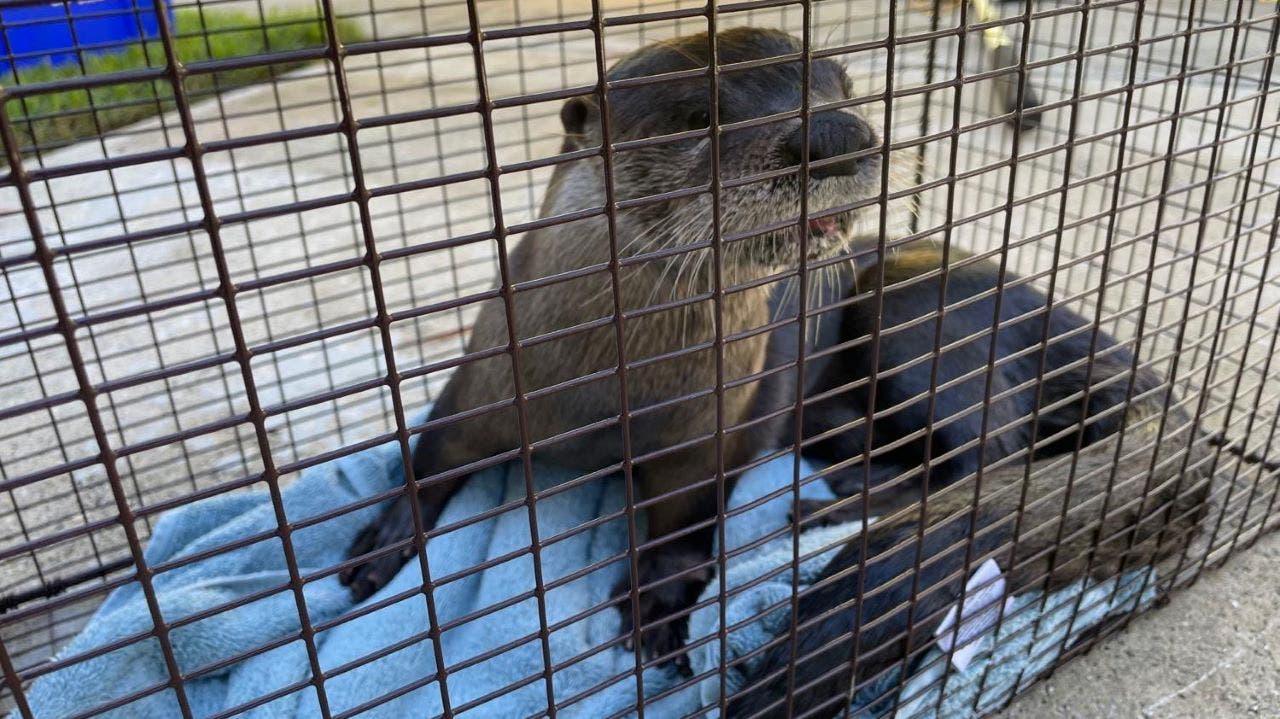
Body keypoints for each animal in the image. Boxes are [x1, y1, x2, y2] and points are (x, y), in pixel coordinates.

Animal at [335, 26, 885, 655]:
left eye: (846, 91)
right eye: (697, 117)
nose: (839, 132)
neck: (606, 399)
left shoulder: (707, 433)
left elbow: (687, 518)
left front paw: (659, 599)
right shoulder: (483, 381)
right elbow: (431, 454)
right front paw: (384, 539)